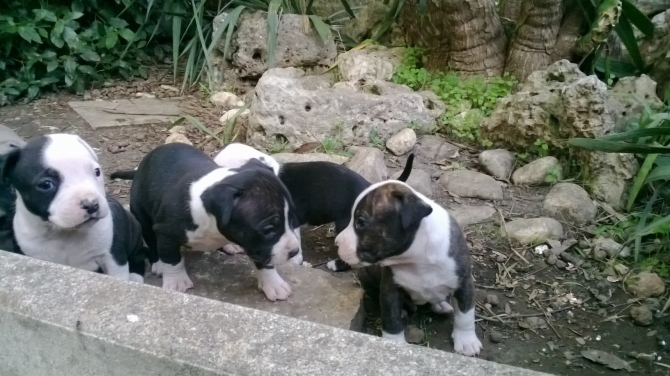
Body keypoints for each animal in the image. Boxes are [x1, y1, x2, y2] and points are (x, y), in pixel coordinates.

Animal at [0, 135, 146, 282]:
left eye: (97, 172)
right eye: (46, 184)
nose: (91, 204)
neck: (64, 234)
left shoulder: (112, 258)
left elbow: (118, 276)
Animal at [111, 142, 300, 302]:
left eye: (292, 219)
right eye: (268, 229)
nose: (294, 251)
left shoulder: (257, 246)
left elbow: (265, 261)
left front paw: (274, 284)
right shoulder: (166, 233)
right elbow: (172, 259)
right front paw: (176, 282)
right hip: (141, 213)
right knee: (150, 237)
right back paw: (158, 264)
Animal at [336, 179, 484, 356]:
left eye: (361, 222)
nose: (337, 242)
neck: (417, 259)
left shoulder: (464, 283)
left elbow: (465, 314)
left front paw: (466, 340)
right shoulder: (390, 290)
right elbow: (391, 320)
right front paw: (393, 343)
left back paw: (441, 305)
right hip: (366, 276)